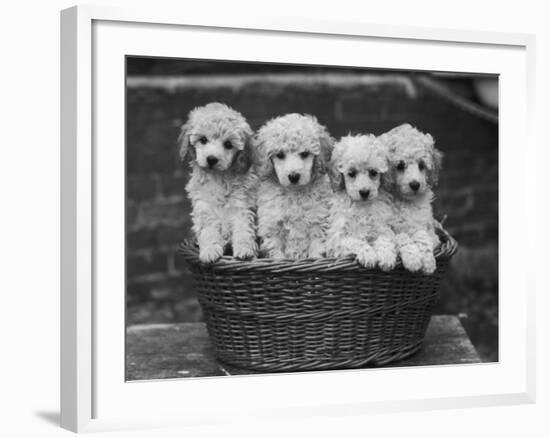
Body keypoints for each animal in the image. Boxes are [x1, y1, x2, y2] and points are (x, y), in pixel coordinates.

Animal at [180, 102, 260, 264]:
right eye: (203, 140)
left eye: (228, 144)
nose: (211, 159)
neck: (219, 178)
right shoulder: (204, 207)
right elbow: (208, 231)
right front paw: (210, 251)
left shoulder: (242, 206)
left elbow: (243, 229)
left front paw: (245, 250)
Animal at [253, 114, 332, 260]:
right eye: (280, 155)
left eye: (305, 154)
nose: (294, 176)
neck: (294, 193)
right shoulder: (272, 225)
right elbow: (276, 251)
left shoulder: (317, 222)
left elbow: (316, 248)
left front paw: (315, 258)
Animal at [326, 134, 398, 270]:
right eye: (351, 173)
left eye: (373, 172)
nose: (364, 192)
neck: (362, 207)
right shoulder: (338, 238)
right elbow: (355, 241)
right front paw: (368, 255)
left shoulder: (382, 226)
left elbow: (385, 239)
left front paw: (386, 256)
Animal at [382, 123, 446, 274]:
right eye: (400, 165)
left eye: (422, 165)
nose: (415, 184)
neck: (406, 201)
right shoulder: (388, 227)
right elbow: (402, 236)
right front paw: (413, 259)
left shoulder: (426, 226)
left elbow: (422, 236)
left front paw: (428, 262)